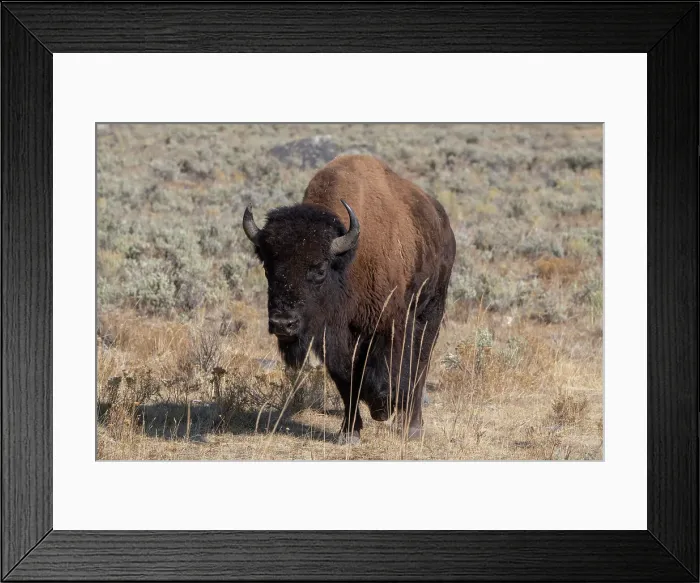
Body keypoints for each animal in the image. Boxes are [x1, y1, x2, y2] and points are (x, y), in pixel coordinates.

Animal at [242, 154, 456, 444]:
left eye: (320, 269)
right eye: (267, 267)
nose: (283, 324)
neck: (348, 260)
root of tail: (444, 224)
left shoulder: (392, 323)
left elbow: (392, 370)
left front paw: (382, 409)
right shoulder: (333, 337)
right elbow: (346, 379)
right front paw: (349, 432)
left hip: (432, 308)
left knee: (421, 365)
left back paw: (411, 428)